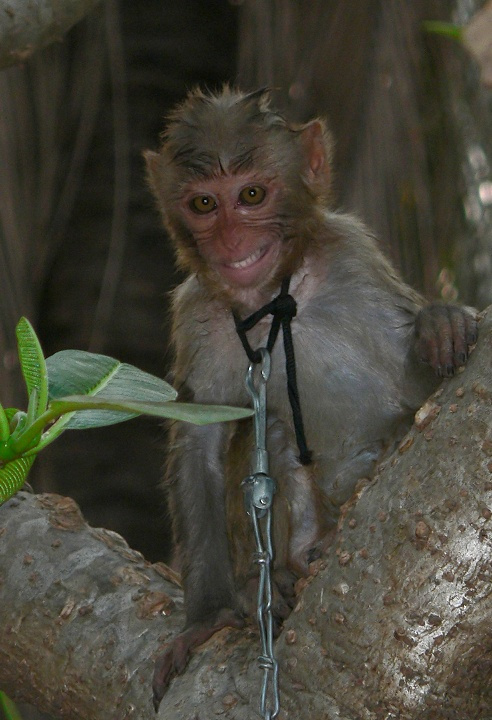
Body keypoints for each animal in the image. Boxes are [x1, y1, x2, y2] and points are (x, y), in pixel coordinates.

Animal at [144, 86, 477, 707]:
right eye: (204, 203)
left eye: (251, 195)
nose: (231, 241)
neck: (277, 295)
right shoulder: (197, 314)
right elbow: (202, 443)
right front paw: (207, 618)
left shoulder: (353, 258)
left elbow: (423, 395)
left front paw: (440, 324)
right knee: (274, 428)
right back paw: (295, 561)